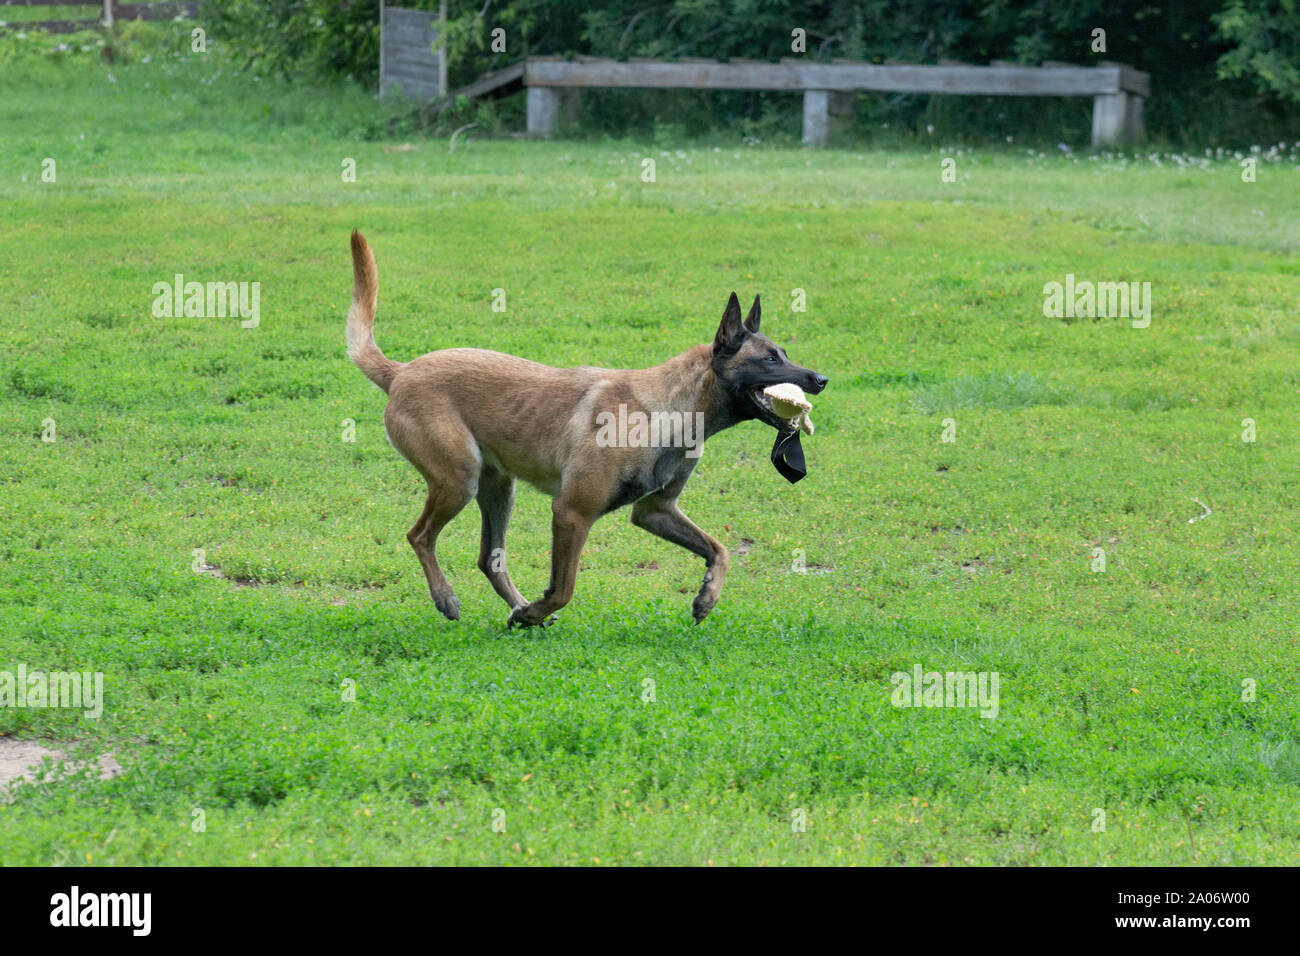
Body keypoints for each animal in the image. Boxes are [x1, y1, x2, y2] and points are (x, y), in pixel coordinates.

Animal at [348, 234, 821, 629]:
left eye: (784, 354)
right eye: (770, 359)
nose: (820, 379)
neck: (668, 409)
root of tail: (401, 371)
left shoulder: (655, 511)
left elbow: (719, 550)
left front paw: (707, 597)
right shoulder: (571, 512)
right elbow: (564, 588)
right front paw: (534, 612)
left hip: (498, 487)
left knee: (489, 560)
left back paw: (516, 605)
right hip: (458, 479)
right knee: (419, 536)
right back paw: (450, 598)